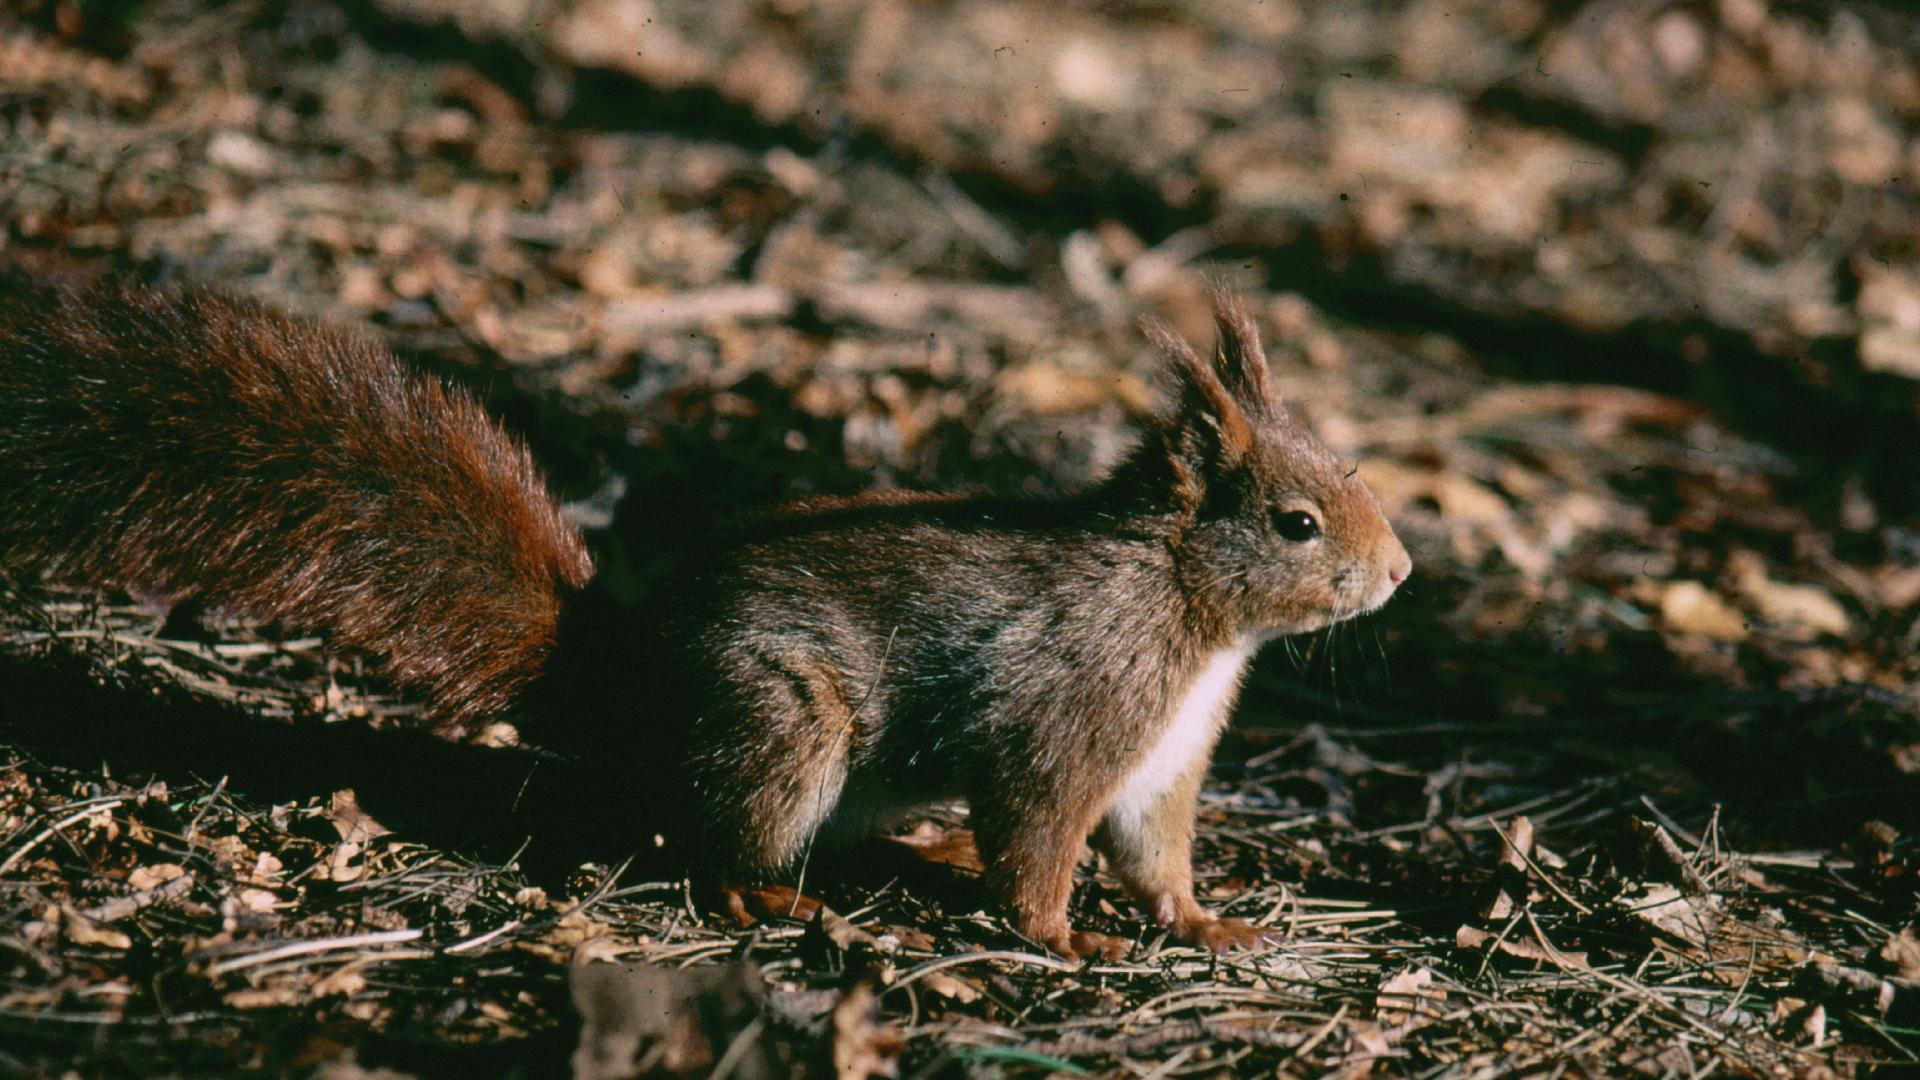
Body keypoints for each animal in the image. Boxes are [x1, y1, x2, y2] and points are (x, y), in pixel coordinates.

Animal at [0, 272, 1413, 953]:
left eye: (1352, 465)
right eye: (1296, 520)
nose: (1401, 572)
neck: (1187, 611)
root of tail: (621, 676)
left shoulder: (1166, 760)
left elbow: (1157, 856)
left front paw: (1202, 921)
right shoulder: (1069, 712)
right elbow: (1036, 835)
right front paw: (1064, 939)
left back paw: (910, 862)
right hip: (782, 727)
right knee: (716, 841)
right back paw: (769, 903)